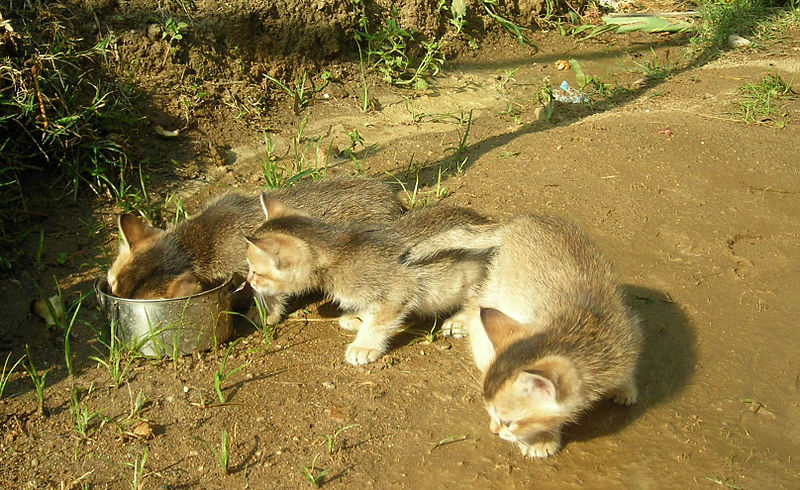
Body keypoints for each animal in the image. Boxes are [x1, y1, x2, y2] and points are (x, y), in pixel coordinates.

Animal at [247, 199, 490, 364]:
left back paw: (458, 322)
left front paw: (364, 346)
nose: (249, 282)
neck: (340, 252)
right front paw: (358, 316)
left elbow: (379, 322)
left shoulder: (399, 291)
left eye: (255, 271)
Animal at [404, 216, 640, 458]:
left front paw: (625, 388)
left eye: (508, 422)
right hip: (496, 285)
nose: (493, 430)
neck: (581, 330)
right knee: (476, 303)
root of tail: (522, 220)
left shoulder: (629, 332)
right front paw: (542, 440)